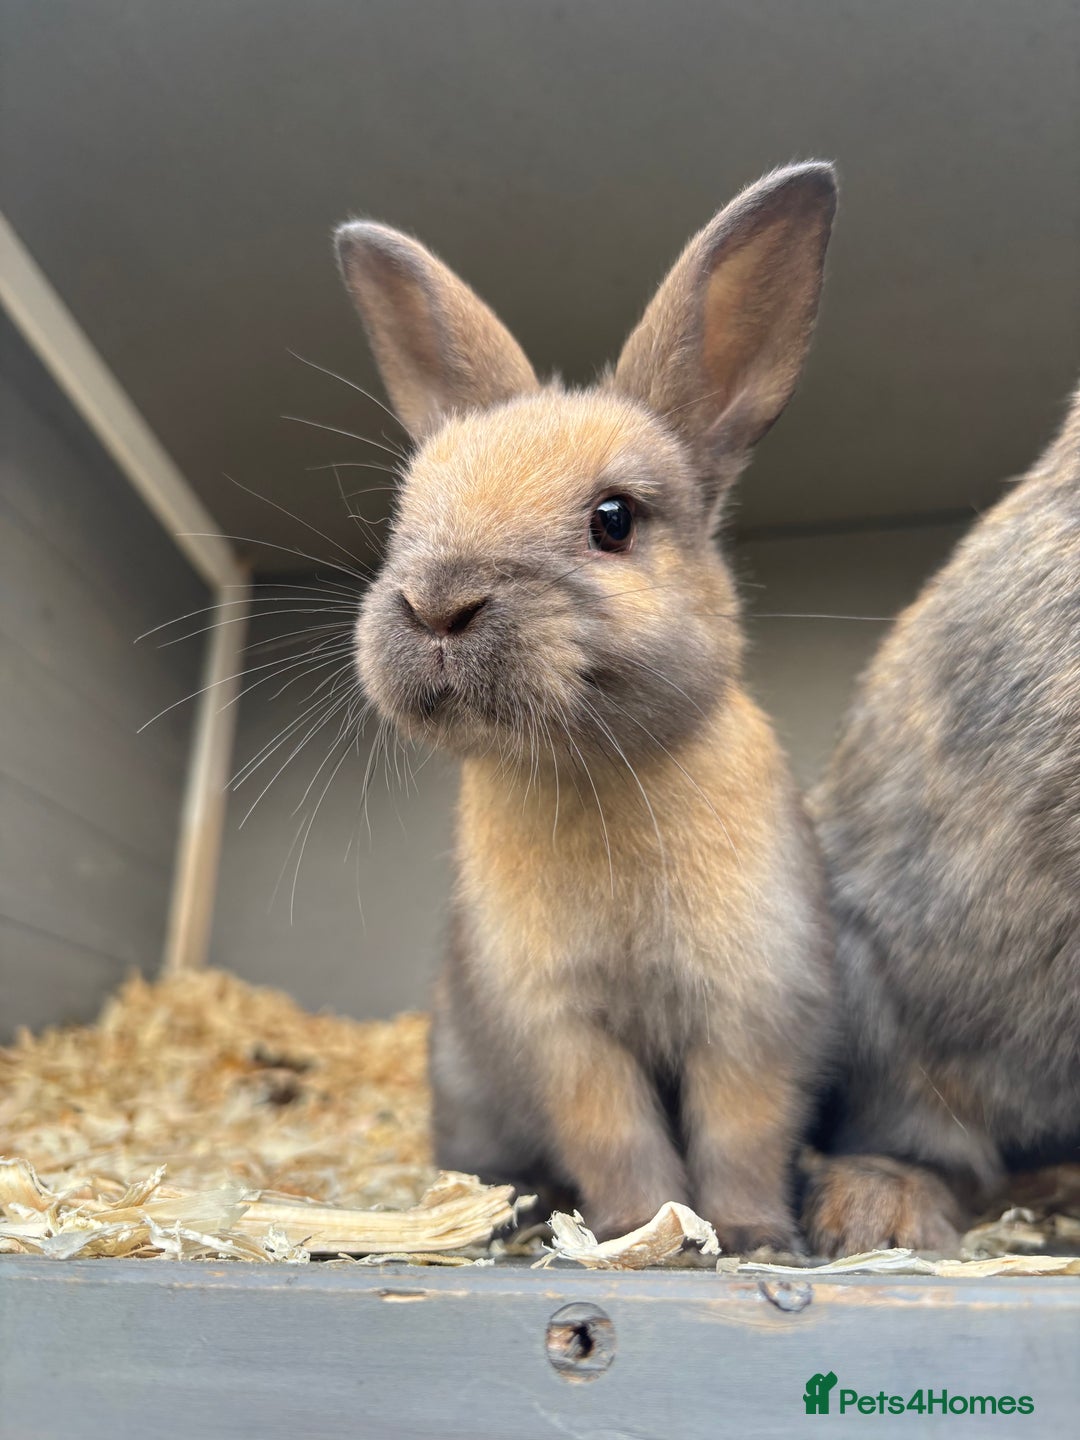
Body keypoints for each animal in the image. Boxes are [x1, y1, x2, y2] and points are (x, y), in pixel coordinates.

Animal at [334, 163, 838, 1250]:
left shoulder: (753, 1007)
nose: (438, 605)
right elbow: (615, 1134)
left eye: (615, 520)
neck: (596, 765)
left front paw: (748, 1236)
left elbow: (743, 1128)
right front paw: (642, 1229)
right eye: (406, 517)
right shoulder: (561, 1032)